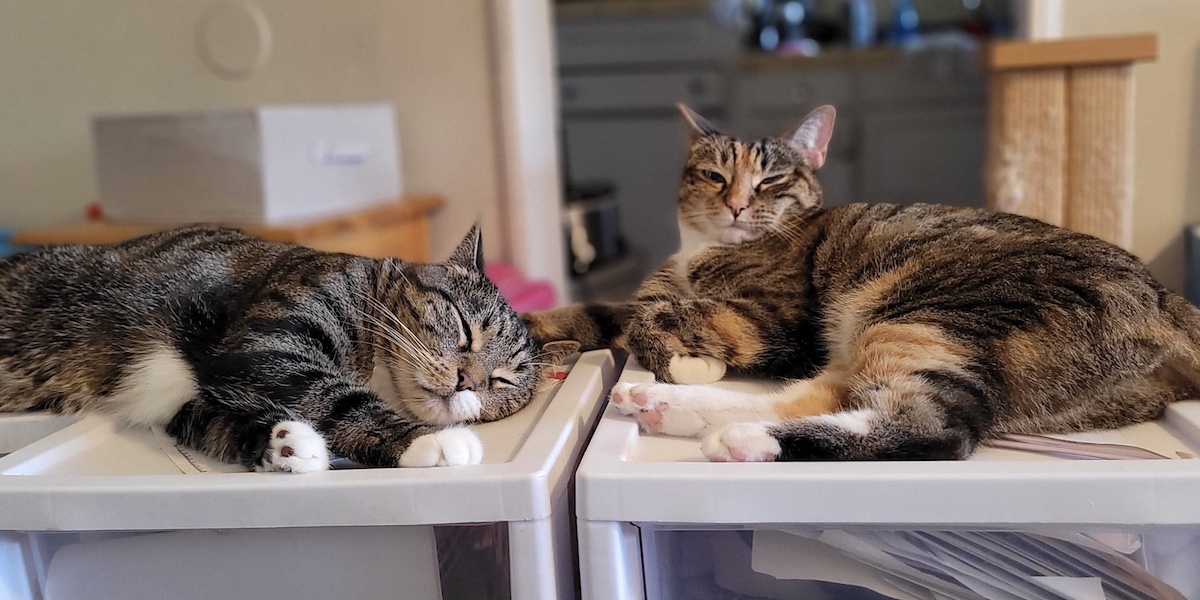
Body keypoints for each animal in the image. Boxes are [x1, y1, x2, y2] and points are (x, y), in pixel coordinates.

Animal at [0, 223, 571, 470]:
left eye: (501, 382)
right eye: (463, 327)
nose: (467, 381)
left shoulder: (181, 400)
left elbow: (211, 422)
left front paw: (285, 446)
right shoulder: (269, 342)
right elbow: (333, 393)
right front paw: (430, 441)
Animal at [525, 105, 1200, 460]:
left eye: (771, 182)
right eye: (714, 176)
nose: (738, 205)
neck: (701, 253)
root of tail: (1165, 298)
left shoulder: (783, 317)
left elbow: (661, 318)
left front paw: (687, 358)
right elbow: (609, 310)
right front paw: (529, 327)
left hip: (930, 316)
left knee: (935, 428)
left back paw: (744, 439)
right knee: (825, 393)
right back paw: (664, 407)